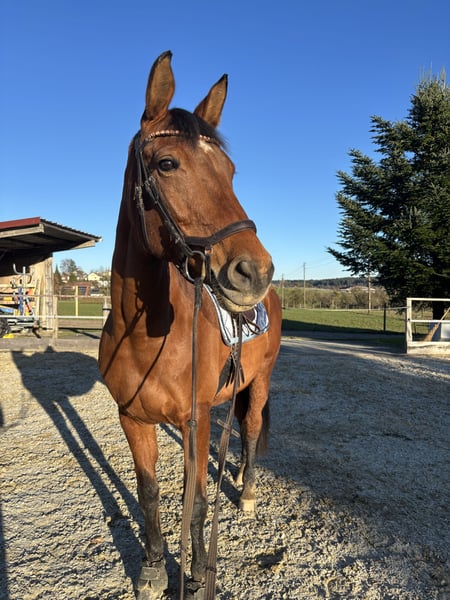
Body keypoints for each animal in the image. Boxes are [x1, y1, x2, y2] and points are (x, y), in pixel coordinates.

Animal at [99, 51, 281, 599]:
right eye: (166, 164)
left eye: (229, 170)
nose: (254, 271)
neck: (145, 336)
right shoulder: (133, 418)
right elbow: (150, 493)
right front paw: (154, 569)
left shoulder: (194, 422)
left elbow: (197, 501)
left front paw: (200, 575)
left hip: (259, 383)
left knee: (250, 427)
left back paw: (246, 493)